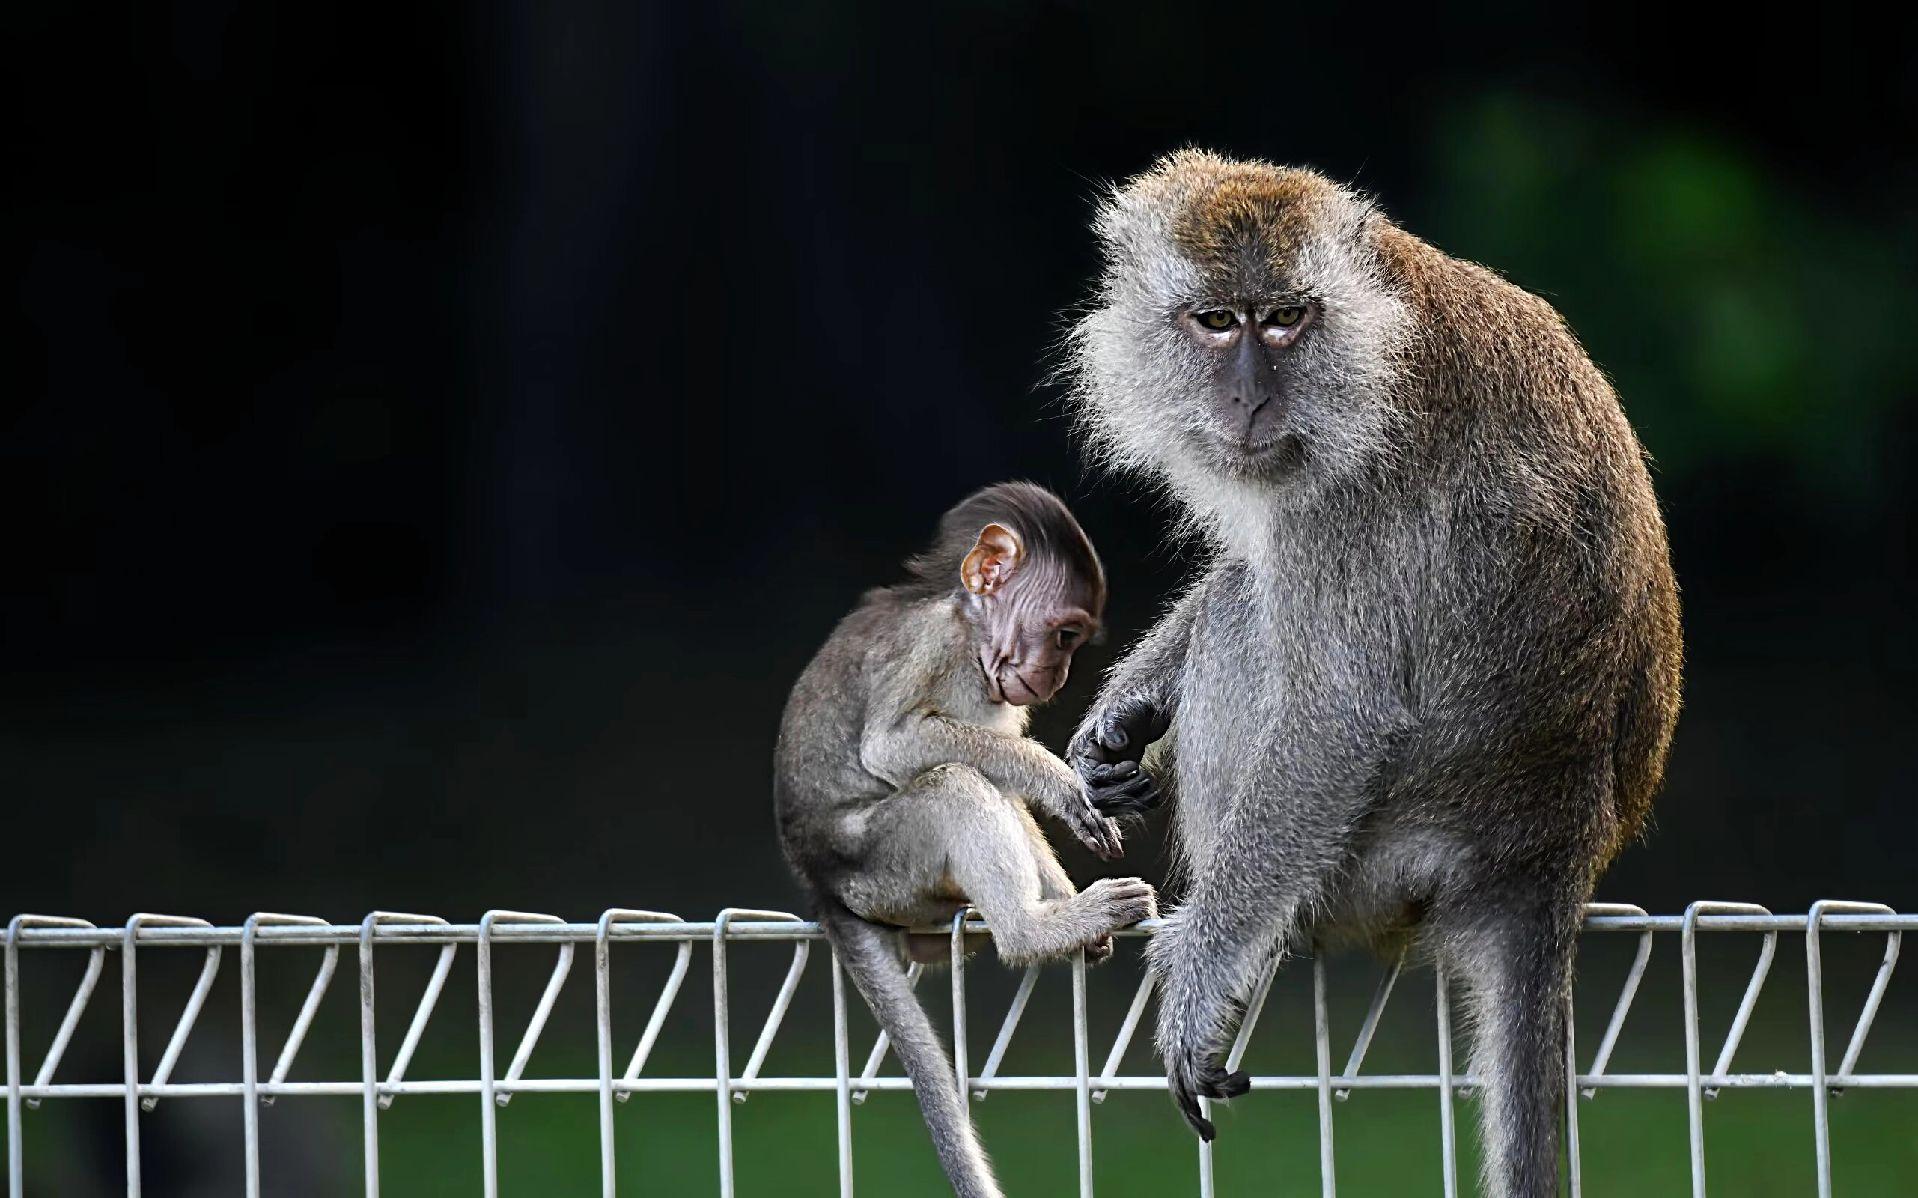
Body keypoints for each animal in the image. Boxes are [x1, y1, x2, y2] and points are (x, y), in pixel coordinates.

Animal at [774, 479, 1150, 1196]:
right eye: (1064, 634)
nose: (1058, 675)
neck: (971, 630)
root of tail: (820, 884)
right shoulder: (936, 646)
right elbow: (895, 746)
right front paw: (1060, 777)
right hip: (880, 866)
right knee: (954, 784)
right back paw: (1036, 930)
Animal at [1066, 151, 1680, 1196]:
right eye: (1216, 321)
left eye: (1283, 317)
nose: (1249, 397)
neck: (1371, 317)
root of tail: (1554, 854)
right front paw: (1124, 710)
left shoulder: (1345, 498)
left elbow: (1335, 720)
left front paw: (1201, 974)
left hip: (1379, 871)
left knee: (1249, 628)